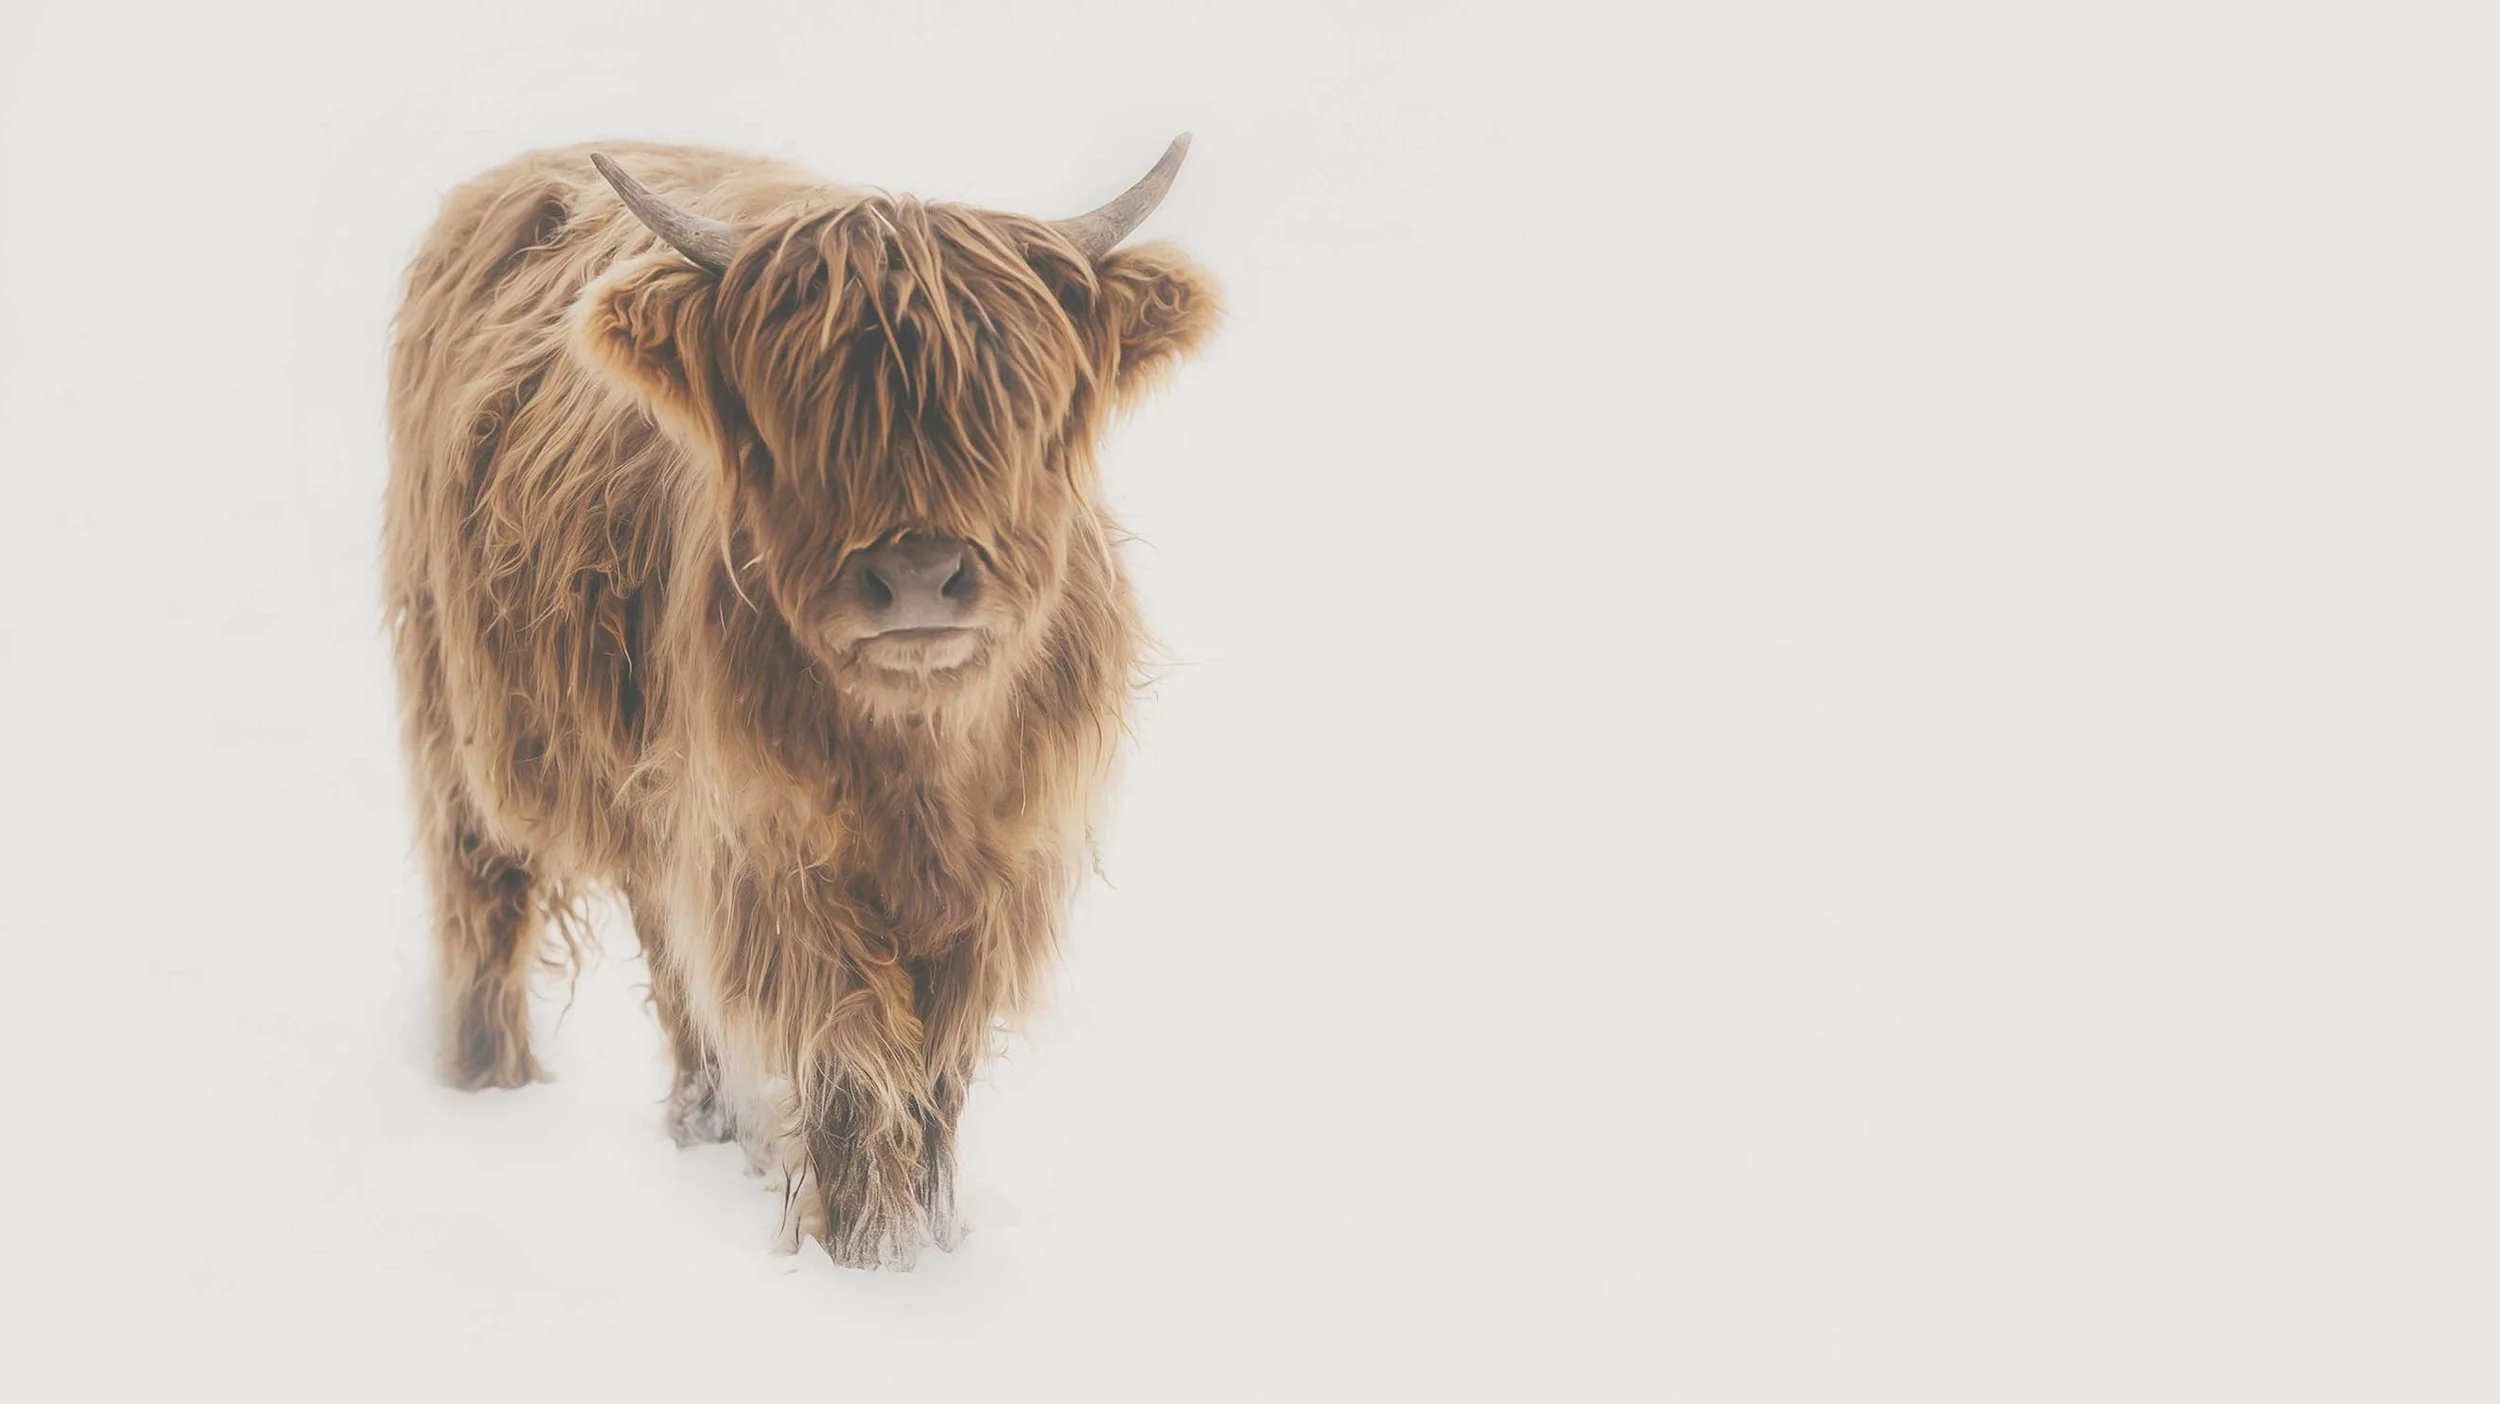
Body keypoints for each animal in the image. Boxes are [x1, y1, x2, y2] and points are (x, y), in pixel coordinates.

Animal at [382, 135, 1216, 1268]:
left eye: (1013, 403)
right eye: (807, 416)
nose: (920, 575)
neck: (915, 761)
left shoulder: (997, 873)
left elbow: (937, 1069)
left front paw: (934, 1237)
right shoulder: (777, 858)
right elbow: (855, 1057)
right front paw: (870, 1254)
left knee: (666, 947)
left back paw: (706, 1123)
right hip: (459, 725)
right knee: (485, 911)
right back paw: (488, 1089)